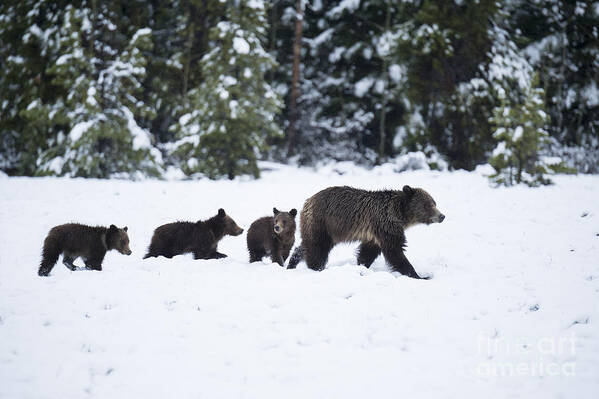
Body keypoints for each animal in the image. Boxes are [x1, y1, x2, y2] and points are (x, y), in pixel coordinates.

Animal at [286, 186, 446, 280]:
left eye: (434, 202)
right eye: (427, 205)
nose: (442, 216)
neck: (401, 214)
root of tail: (307, 202)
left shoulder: (375, 234)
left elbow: (368, 252)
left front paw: (362, 266)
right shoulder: (386, 224)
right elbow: (395, 250)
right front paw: (419, 275)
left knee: (306, 246)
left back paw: (292, 263)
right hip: (323, 224)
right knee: (317, 248)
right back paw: (317, 268)